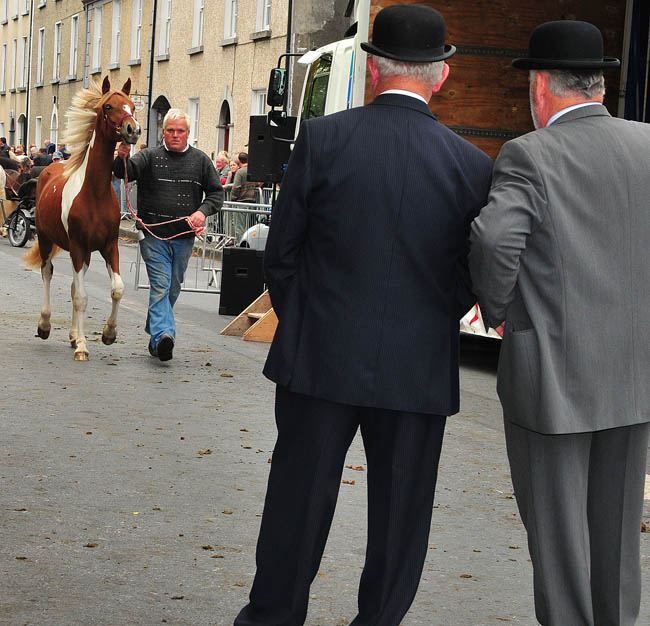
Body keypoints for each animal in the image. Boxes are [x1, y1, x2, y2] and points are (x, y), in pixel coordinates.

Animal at [23, 77, 139, 358]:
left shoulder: (109, 246)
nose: (133, 130)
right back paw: (45, 325)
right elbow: (81, 297)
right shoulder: (76, 245)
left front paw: (108, 334)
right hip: (47, 239)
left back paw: (74, 335)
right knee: (47, 273)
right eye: (108, 106)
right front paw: (83, 348)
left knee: (75, 284)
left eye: (132, 106)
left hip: (85, 253)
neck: (94, 193)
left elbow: (116, 289)